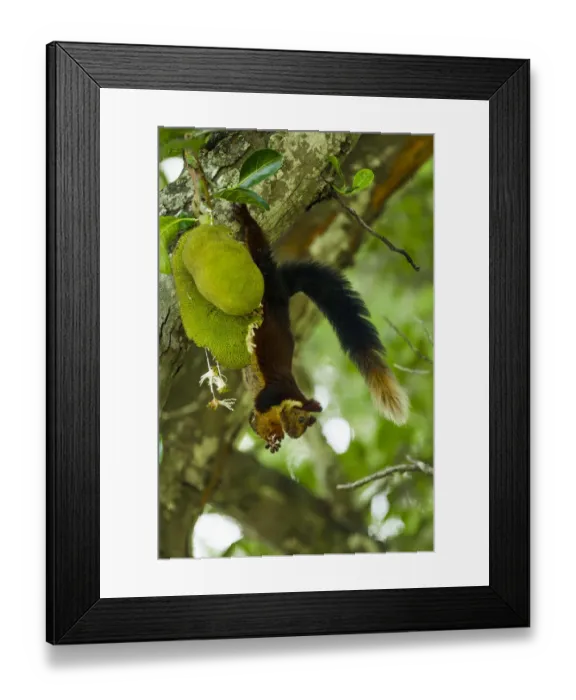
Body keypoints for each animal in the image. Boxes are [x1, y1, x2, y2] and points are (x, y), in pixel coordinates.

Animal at [233, 203, 410, 453]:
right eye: (301, 419)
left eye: (305, 425)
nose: (294, 435)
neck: (289, 401)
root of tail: (283, 288)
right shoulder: (273, 394)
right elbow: (258, 410)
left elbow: (259, 421)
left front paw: (273, 438)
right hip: (267, 283)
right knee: (261, 255)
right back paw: (246, 218)